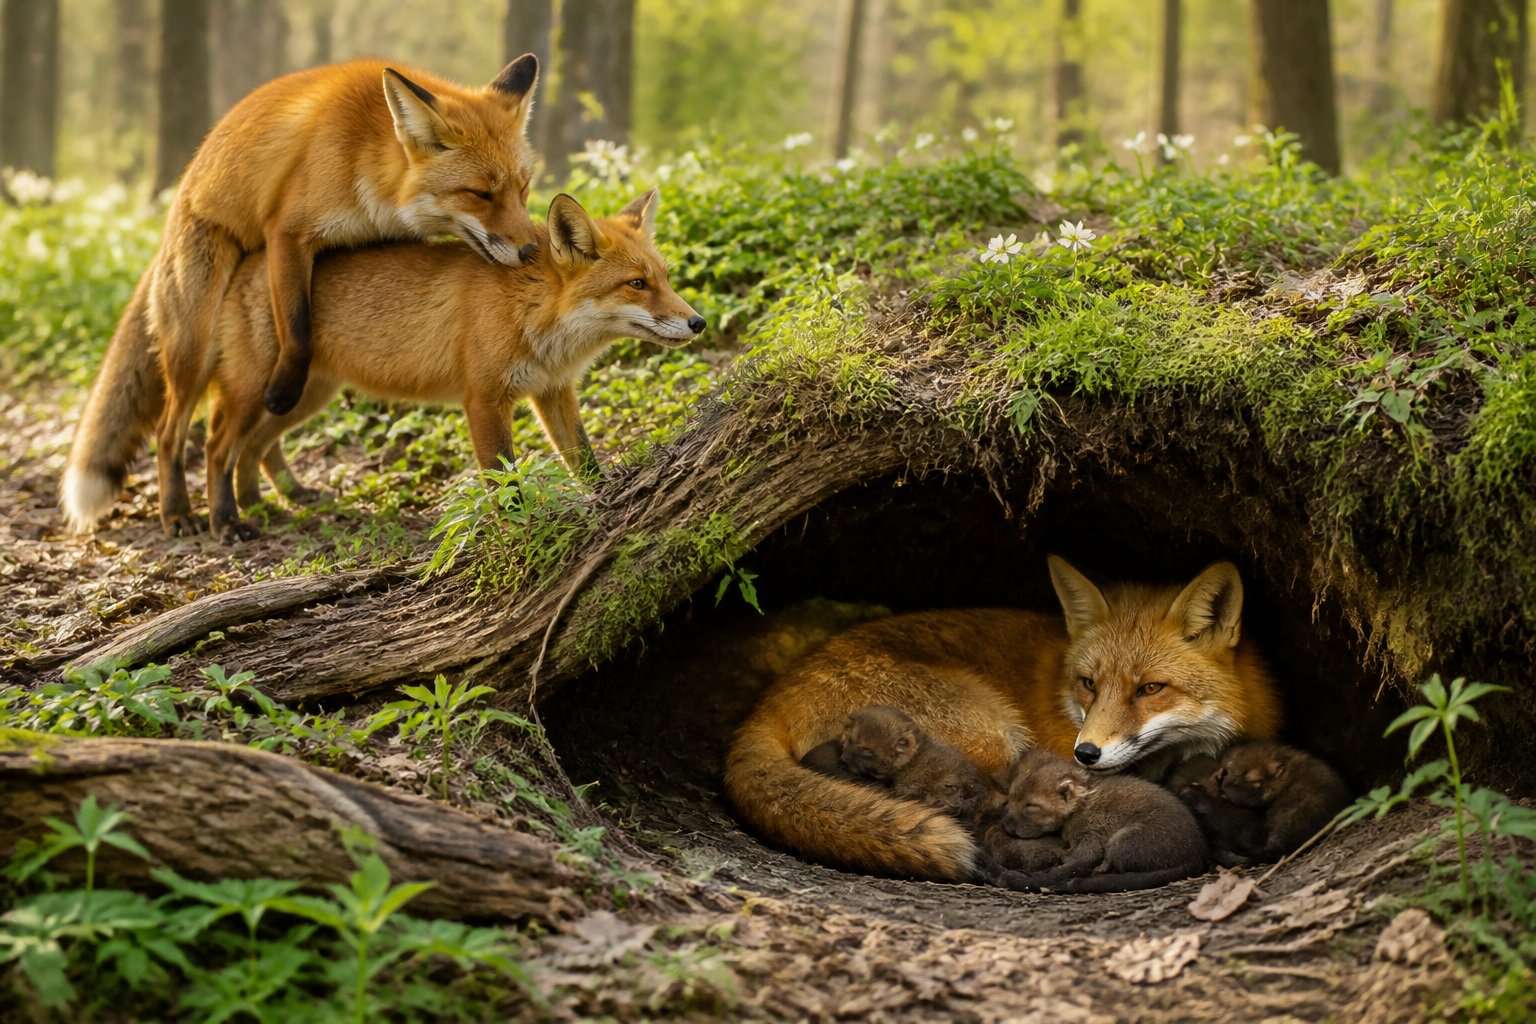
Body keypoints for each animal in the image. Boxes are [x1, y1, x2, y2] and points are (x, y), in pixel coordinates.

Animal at [62, 55, 542, 536]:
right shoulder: (287, 231)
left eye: (523, 188)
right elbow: (296, 327)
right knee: (170, 433)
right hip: (192, 350)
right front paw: (284, 384)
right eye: (481, 194)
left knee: (253, 440)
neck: (365, 163)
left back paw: (269, 495)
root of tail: (169, 226)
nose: (531, 251)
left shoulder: (383, 240)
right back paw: (183, 512)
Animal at [193, 188, 703, 541]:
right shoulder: (483, 400)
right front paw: (524, 534)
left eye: (665, 279)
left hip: (303, 396)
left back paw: (269, 501)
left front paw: (607, 498)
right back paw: (228, 522)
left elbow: (583, 458)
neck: (530, 308)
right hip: (258, 393)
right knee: (217, 448)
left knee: (257, 448)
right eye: (636, 284)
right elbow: (505, 481)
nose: (698, 322)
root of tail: (250, 259)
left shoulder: (553, 390)